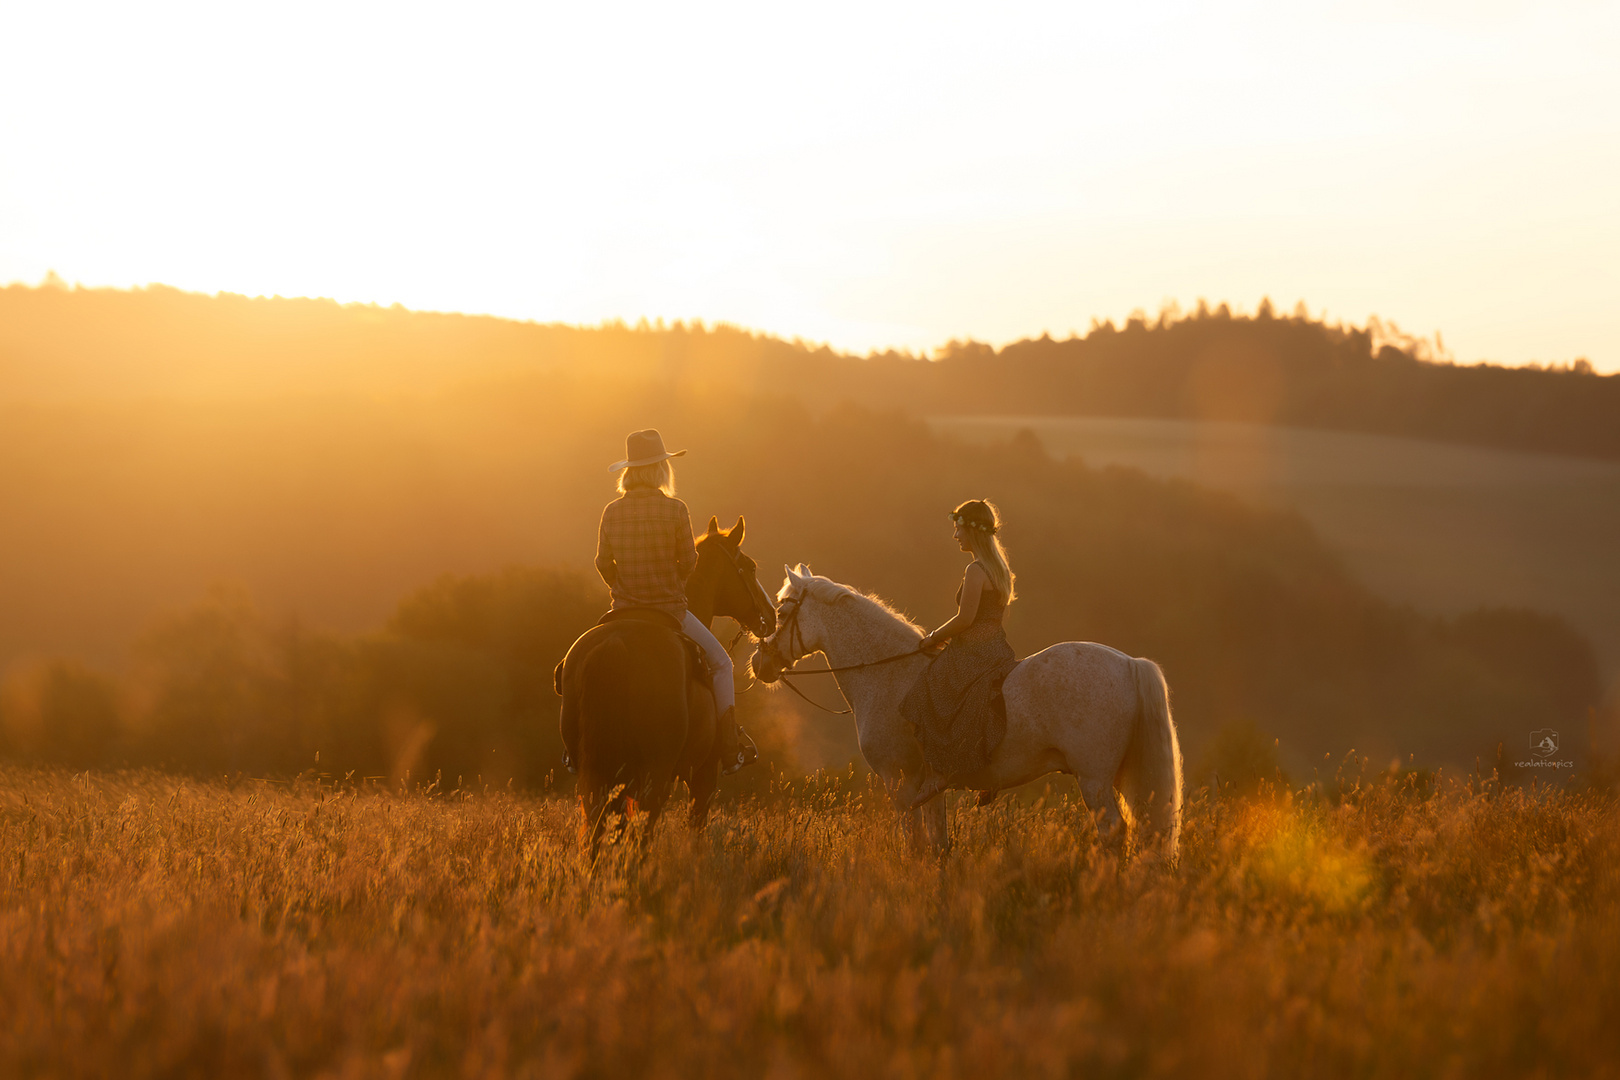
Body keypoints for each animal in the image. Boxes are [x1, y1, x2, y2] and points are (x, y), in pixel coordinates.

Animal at [557, 518, 777, 861]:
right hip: (655, 776)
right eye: (750, 567)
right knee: (642, 833)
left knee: (598, 829)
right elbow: (696, 826)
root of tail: (615, 643)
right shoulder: (703, 773)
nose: (771, 616)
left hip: (600, 774)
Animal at [751, 569, 1185, 854]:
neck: (887, 672)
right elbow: (938, 847)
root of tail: (1129, 663)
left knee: (1113, 831)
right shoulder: (929, 789)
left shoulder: (899, 784)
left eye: (782, 612)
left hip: (1094, 779)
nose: (760, 662)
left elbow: (915, 847)